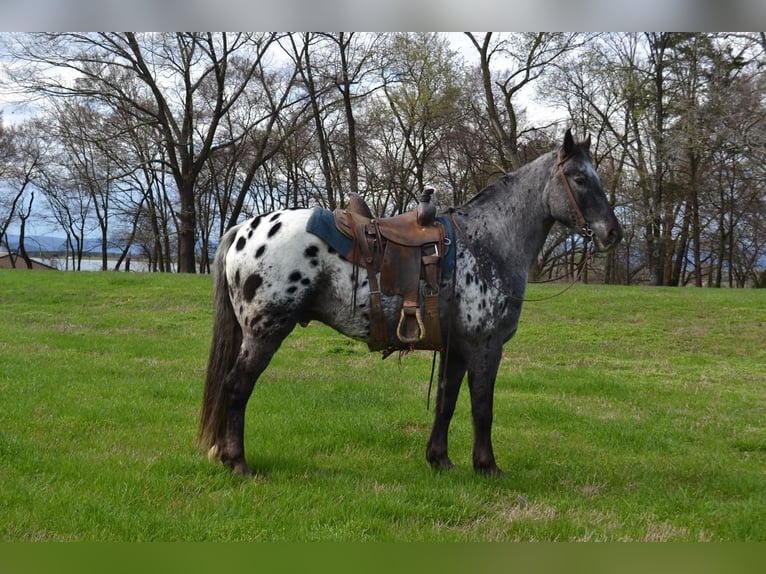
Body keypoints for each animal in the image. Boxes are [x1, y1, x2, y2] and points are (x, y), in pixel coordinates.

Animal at [198, 129, 624, 476]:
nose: (613, 233)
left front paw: (440, 459)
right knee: (236, 387)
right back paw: (238, 462)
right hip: (264, 332)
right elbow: (482, 407)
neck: (487, 242)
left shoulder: (456, 349)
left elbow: (446, 402)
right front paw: (487, 466)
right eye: (580, 178)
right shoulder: (485, 348)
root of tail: (244, 229)